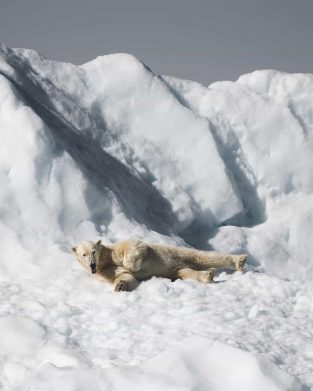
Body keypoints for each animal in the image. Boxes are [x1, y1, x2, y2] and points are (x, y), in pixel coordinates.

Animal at [70, 240, 246, 292]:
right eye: (83, 254)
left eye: (93, 251)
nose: (92, 264)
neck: (105, 260)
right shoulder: (105, 272)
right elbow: (125, 276)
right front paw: (119, 286)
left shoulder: (118, 249)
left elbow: (135, 247)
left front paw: (131, 265)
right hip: (177, 269)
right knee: (187, 273)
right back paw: (207, 275)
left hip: (178, 253)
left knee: (204, 256)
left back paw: (239, 260)